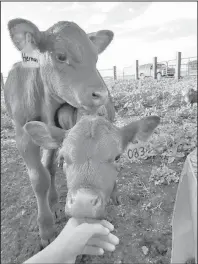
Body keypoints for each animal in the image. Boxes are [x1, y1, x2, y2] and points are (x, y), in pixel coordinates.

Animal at [3, 18, 114, 245]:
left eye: (96, 58)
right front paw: (45, 227)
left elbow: (50, 167)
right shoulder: (22, 135)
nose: (102, 94)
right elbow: (39, 178)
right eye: (61, 56)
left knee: (50, 166)